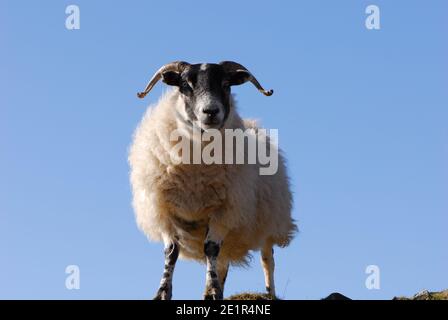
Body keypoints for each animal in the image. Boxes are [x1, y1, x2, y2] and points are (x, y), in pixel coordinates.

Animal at [129, 60, 298, 300]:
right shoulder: (163, 210)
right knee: (223, 262)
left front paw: (212, 291)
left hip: (269, 223)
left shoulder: (224, 211)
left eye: (226, 84)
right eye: (185, 85)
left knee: (267, 260)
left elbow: (210, 248)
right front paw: (162, 292)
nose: (210, 112)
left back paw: (269, 294)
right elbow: (171, 252)